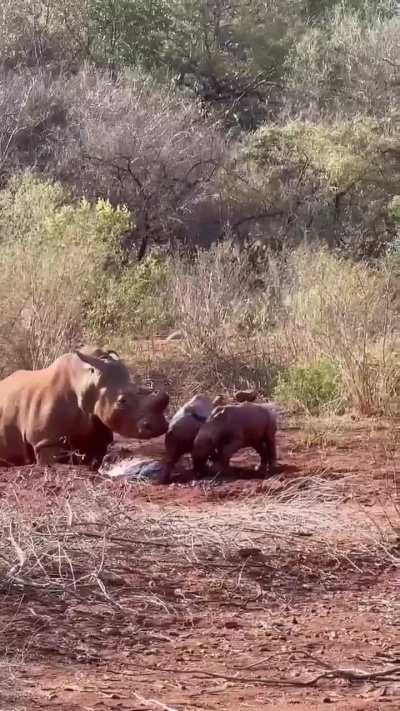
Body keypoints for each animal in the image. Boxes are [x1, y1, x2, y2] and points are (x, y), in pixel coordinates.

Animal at [0, 350, 169, 467]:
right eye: (122, 401)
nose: (160, 426)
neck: (86, 382)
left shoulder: (96, 429)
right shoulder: (45, 441)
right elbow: (50, 459)